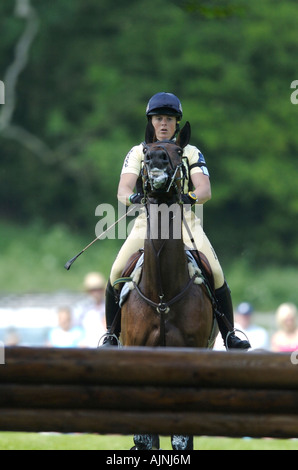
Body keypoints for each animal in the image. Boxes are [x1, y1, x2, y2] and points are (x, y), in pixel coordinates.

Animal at [120, 122, 218, 452]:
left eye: (177, 151)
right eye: (146, 151)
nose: (157, 163)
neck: (162, 293)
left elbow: (181, 438)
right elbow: (145, 439)